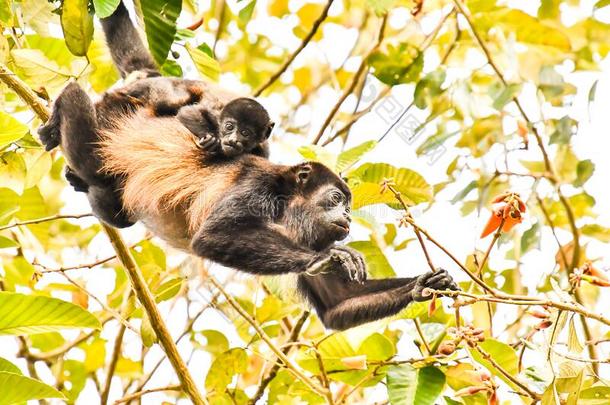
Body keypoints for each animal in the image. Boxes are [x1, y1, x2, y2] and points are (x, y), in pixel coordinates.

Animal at [39, 0, 456, 328]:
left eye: (350, 206)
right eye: (337, 199)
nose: (348, 218)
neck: (287, 204)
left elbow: (337, 306)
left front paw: (422, 285)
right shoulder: (257, 185)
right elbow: (212, 236)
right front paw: (327, 256)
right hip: (114, 110)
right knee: (78, 101)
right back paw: (57, 122)